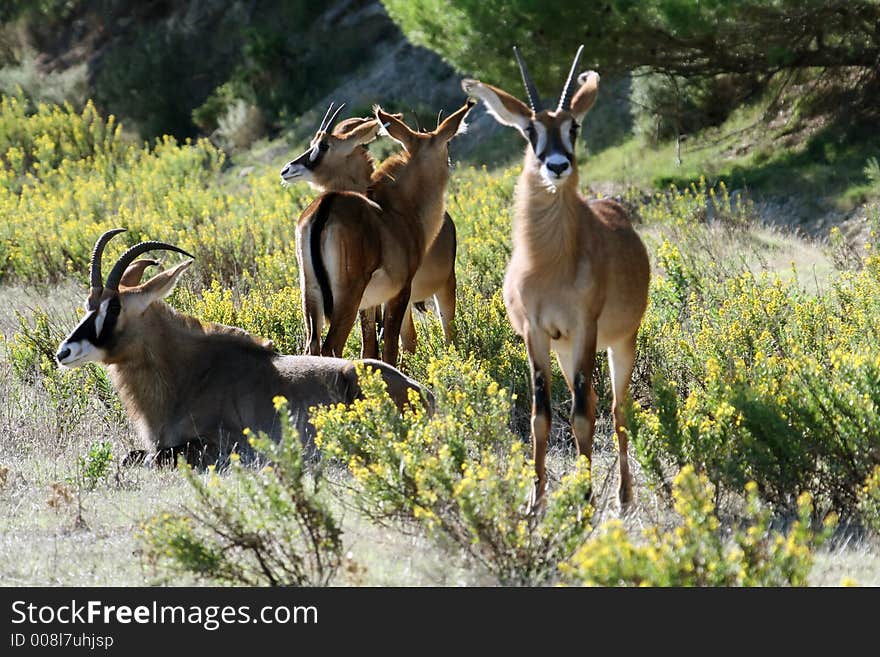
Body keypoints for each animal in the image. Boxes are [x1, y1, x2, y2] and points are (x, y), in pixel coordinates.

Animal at [53, 228, 432, 464]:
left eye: (115, 307)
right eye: (88, 303)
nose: (63, 353)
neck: (189, 376)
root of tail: (423, 393)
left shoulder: (222, 444)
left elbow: (150, 458)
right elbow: (130, 456)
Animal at [294, 99, 474, 364]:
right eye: (447, 143)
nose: (451, 165)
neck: (400, 208)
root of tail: (326, 206)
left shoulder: (370, 305)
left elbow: (370, 348)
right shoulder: (401, 293)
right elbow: (392, 347)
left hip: (311, 295)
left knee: (312, 347)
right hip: (348, 297)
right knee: (332, 347)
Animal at [464, 47, 648, 508]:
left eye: (573, 126)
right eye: (530, 129)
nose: (557, 165)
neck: (549, 263)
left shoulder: (585, 328)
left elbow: (582, 416)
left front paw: (584, 500)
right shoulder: (536, 333)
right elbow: (540, 415)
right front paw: (535, 502)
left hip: (619, 342)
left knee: (616, 409)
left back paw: (622, 496)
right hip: (565, 351)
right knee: (597, 401)